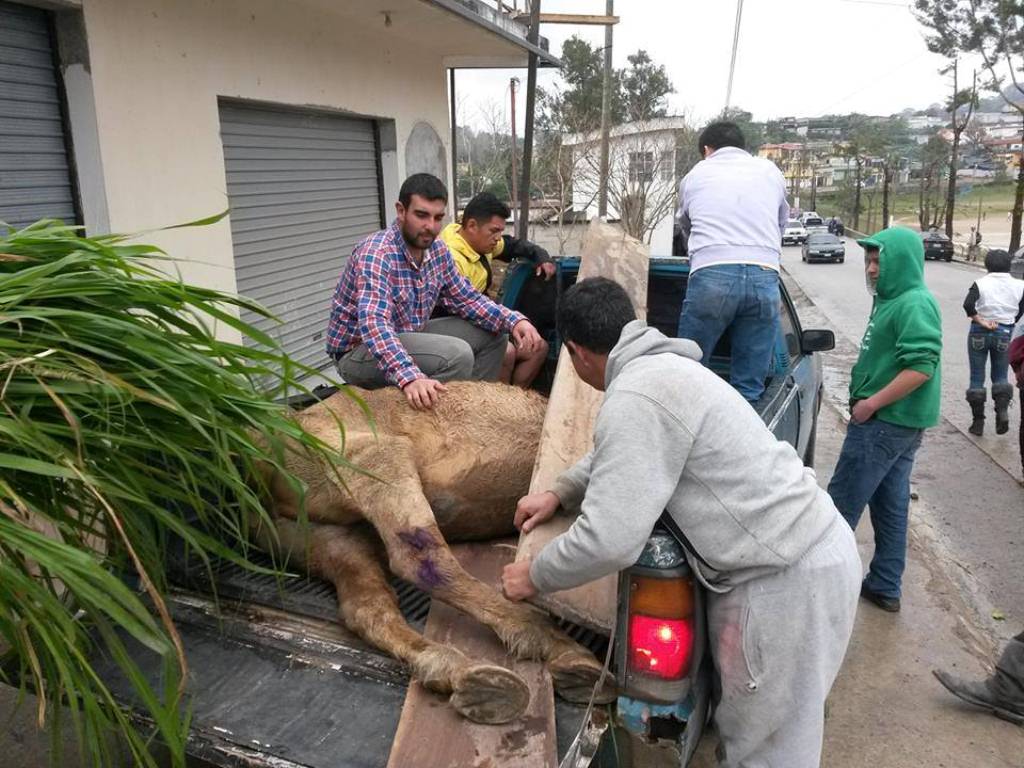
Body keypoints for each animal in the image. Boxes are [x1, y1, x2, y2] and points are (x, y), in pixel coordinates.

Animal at [256, 382, 610, 724]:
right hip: (369, 458)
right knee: (417, 559)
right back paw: (551, 646)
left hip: (323, 535)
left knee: (367, 607)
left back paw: (473, 679)